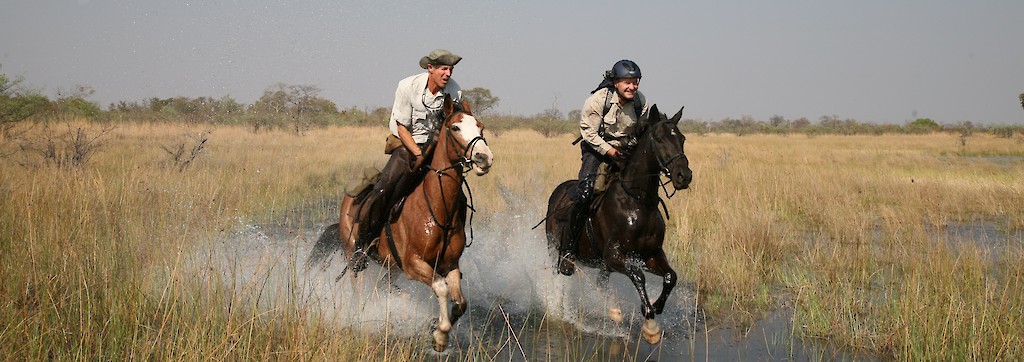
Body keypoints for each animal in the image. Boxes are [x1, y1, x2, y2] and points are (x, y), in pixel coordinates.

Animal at [307, 94, 491, 351]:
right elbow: (441, 288)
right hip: (354, 257)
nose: (484, 158)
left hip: (391, 266)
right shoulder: (413, 264)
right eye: (455, 127)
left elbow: (460, 303)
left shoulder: (450, 264)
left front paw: (436, 329)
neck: (437, 208)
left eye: (480, 127)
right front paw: (441, 335)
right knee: (357, 286)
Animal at [544, 103, 688, 345]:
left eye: (682, 138)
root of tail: (557, 192)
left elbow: (671, 277)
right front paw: (650, 325)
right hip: (557, 250)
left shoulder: (651, 255)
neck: (637, 203)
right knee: (561, 279)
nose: (684, 176)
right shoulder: (616, 255)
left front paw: (655, 308)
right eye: (659, 139)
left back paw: (613, 309)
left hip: (603, 265)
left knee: (602, 283)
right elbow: (638, 276)